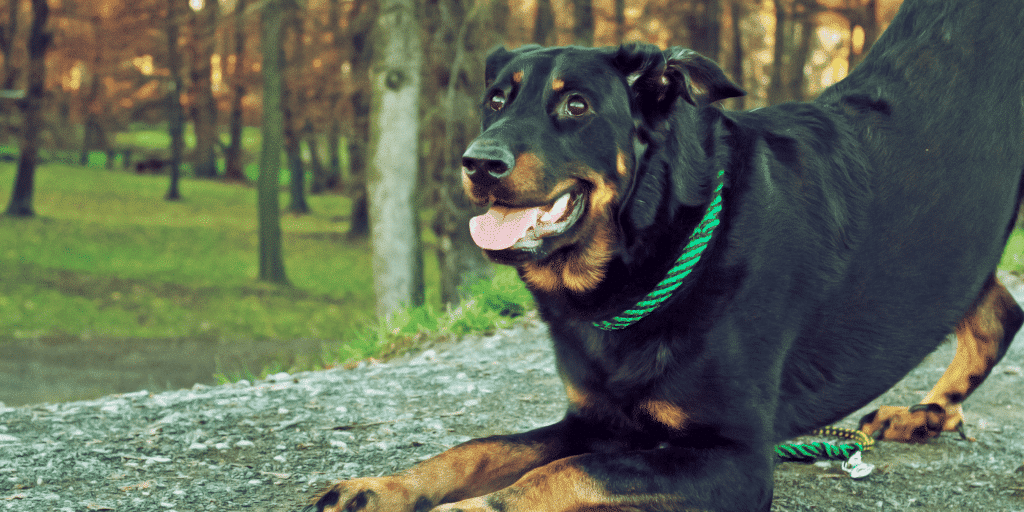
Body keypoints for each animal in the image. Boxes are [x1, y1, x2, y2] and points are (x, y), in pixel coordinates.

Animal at [309, 0, 1024, 509]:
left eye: (576, 105)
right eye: (495, 100)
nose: (479, 163)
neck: (652, 257)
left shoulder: (733, 459)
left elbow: (559, 475)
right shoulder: (596, 419)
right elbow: (480, 449)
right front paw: (383, 488)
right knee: (996, 312)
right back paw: (927, 413)